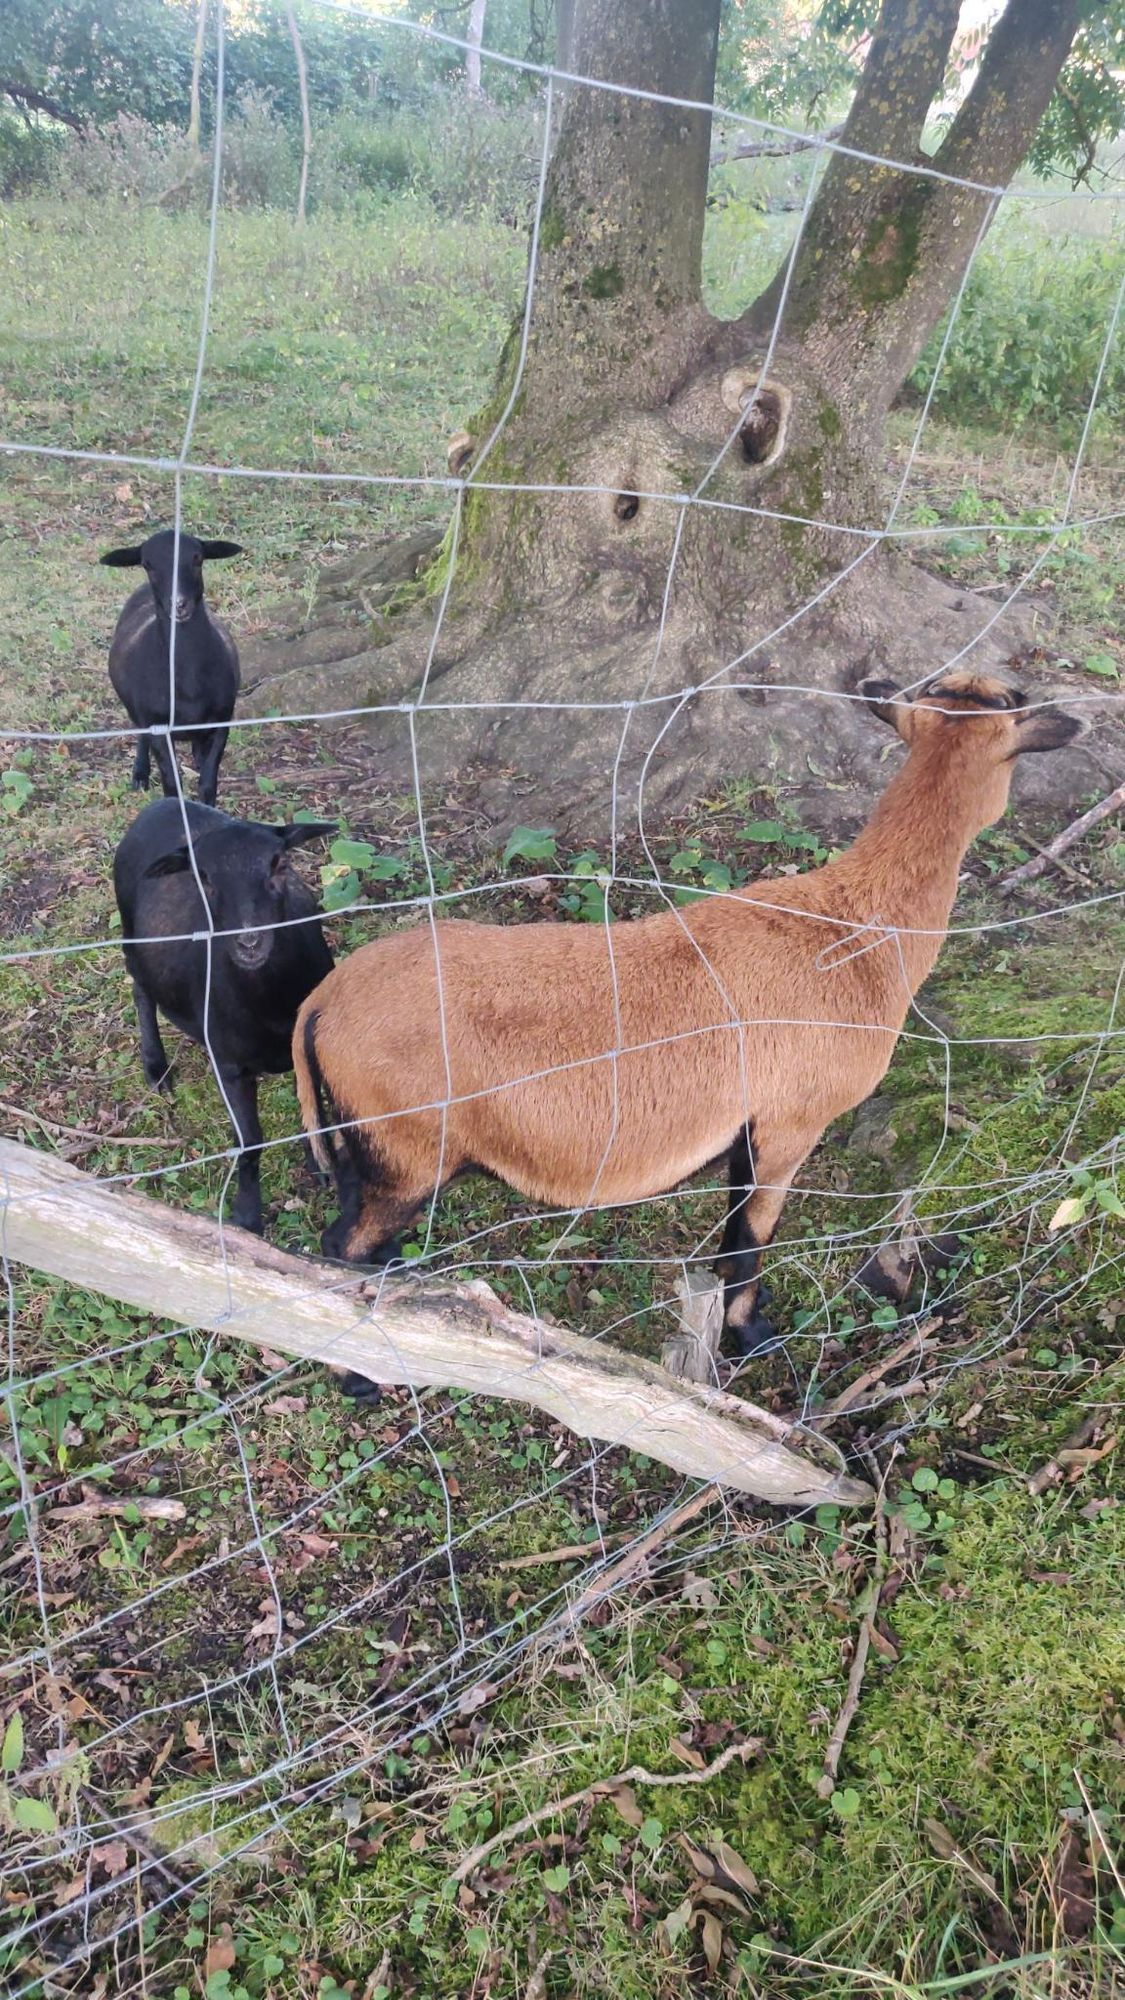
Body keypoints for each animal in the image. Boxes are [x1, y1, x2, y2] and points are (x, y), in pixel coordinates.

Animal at [101, 536, 243, 808]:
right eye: (147, 564)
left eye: (198, 558)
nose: (179, 605)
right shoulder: (159, 728)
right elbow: (171, 784)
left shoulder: (222, 721)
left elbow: (208, 782)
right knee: (141, 734)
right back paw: (140, 774)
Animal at [114, 800, 334, 1232]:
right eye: (203, 878)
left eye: (280, 863)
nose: (248, 942)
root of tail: (166, 802)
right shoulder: (229, 1065)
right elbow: (249, 1143)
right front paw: (246, 1215)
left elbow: (312, 1107)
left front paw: (319, 1164)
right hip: (130, 936)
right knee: (141, 992)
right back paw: (156, 1068)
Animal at [294, 668, 1080, 1344]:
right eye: (1015, 711)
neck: (853, 926)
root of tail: (322, 1002)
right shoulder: (791, 1124)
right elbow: (750, 1239)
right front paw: (750, 1336)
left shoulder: (747, 1130)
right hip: (405, 1148)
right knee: (340, 1249)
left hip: (366, 1145)